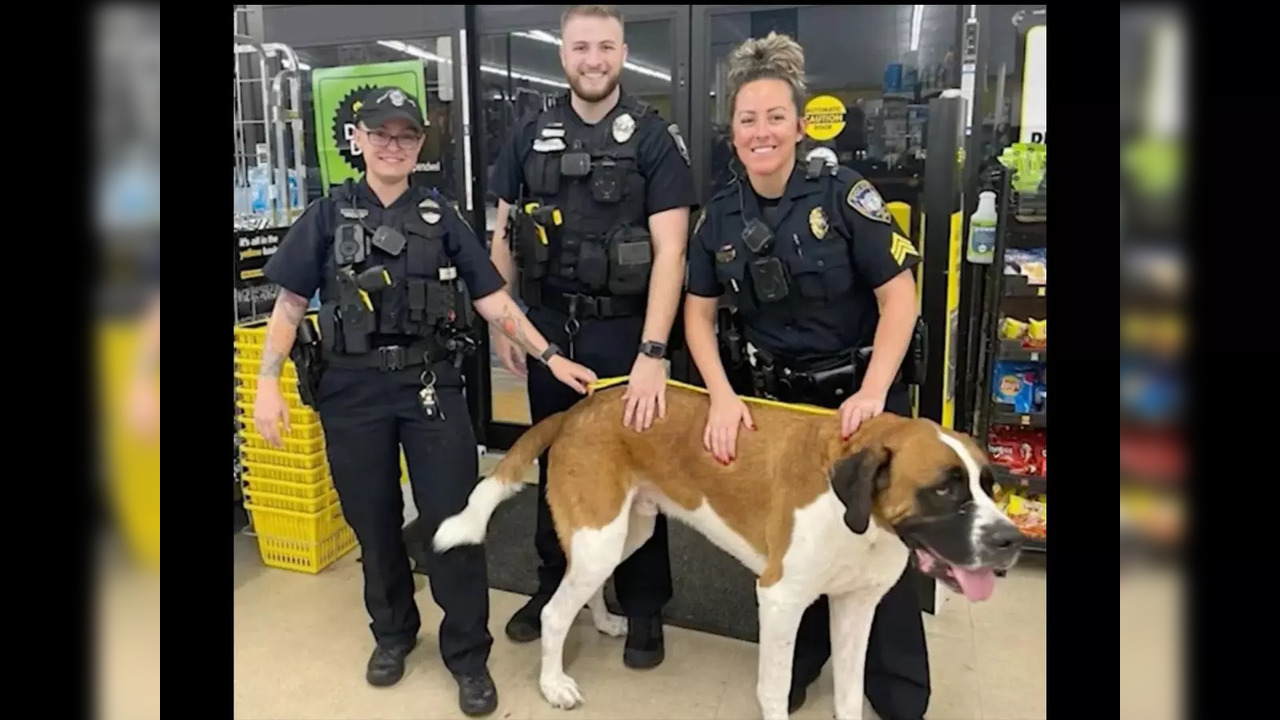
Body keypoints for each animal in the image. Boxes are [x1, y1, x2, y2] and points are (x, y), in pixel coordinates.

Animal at [435, 379, 1024, 712]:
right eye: (944, 488)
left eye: (988, 484)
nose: (1012, 539)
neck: (861, 520)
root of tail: (580, 409)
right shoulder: (781, 601)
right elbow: (774, 689)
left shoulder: (856, 606)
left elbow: (851, 690)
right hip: (601, 537)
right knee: (555, 613)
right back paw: (554, 683)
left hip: (624, 533)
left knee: (584, 585)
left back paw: (602, 621)